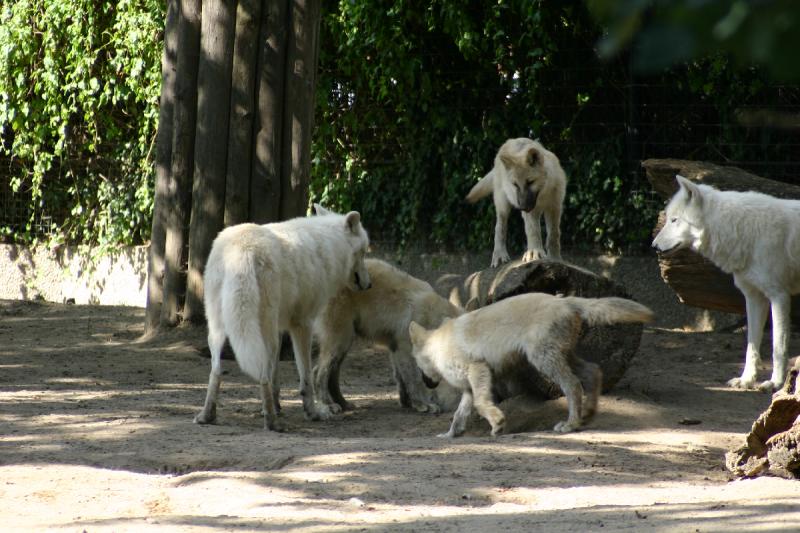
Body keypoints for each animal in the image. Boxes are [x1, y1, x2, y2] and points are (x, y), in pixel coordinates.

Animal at [194, 204, 372, 428]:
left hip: (219, 329)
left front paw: (276, 407)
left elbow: (276, 376)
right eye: (364, 253)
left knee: (217, 371)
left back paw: (207, 416)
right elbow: (305, 378)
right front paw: (313, 412)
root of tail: (241, 251)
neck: (329, 246)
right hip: (262, 333)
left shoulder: (280, 328)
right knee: (262, 375)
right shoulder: (302, 324)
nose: (369, 284)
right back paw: (272, 424)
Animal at [312, 256, 462, 414]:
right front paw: (424, 404)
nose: (432, 384)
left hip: (347, 337)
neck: (432, 315)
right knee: (320, 370)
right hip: (340, 333)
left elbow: (400, 375)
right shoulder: (405, 343)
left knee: (334, 370)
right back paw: (328, 404)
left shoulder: (396, 343)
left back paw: (344, 403)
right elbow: (413, 377)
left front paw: (407, 402)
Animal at [410, 290, 652, 436]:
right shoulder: (471, 387)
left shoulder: (478, 371)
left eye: (417, 366)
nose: (427, 383)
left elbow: (480, 404)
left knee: (572, 385)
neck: (438, 346)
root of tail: (564, 300)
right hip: (560, 356)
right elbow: (460, 414)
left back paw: (570, 424)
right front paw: (451, 434)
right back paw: (587, 416)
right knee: (592, 371)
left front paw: (497, 424)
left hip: (544, 360)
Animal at [462, 138, 568, 266]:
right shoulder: (530, 213)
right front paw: (534, 252)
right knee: (499, 228)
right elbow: (534, 232)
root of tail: (509, 141)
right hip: (503, 207)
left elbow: (553, 235)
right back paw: (499, 255)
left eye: (530, 182)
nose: (521, 207)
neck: (544, 194)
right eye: (515, 185)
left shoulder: (555, 208)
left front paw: (555, 258)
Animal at [652, 177, 796, 388]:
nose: (653, 245)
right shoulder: (754, 297)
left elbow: (778, 345)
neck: (743, 230)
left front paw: (775, 383)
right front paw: (746, 380)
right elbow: (751, 344)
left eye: (674, 220)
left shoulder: (779, 296)